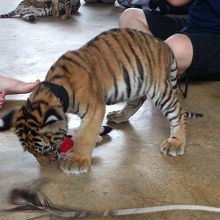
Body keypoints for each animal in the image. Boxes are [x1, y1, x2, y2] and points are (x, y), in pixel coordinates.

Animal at [0, 28, 202, 174]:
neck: (55, 90)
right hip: (137, 83)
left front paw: (77, 161)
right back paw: (119, 116)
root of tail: (164, 44)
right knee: (138, 100)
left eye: (44, 149)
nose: (47, 167)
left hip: (159, 88)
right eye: (31, 152)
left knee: (178, 113)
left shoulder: (94, 109)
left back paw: (176, 143)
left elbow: (85, 136)